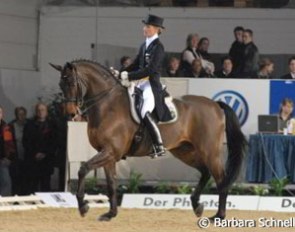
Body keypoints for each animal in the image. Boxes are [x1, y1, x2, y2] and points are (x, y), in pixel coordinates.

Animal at [51, 60, 247, 222]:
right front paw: (110, 214)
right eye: (60, 84)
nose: (70, 114)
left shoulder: (110, 151)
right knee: (205, 172)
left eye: (72, 83)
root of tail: (215, 104)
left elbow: (83, 169)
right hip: (185, 151)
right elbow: (111, 184)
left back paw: (219, 216)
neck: (107, 105)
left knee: (220, 179)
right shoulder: (108, 153)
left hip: (209, 151)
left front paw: (83, 206)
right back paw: (196, 205)